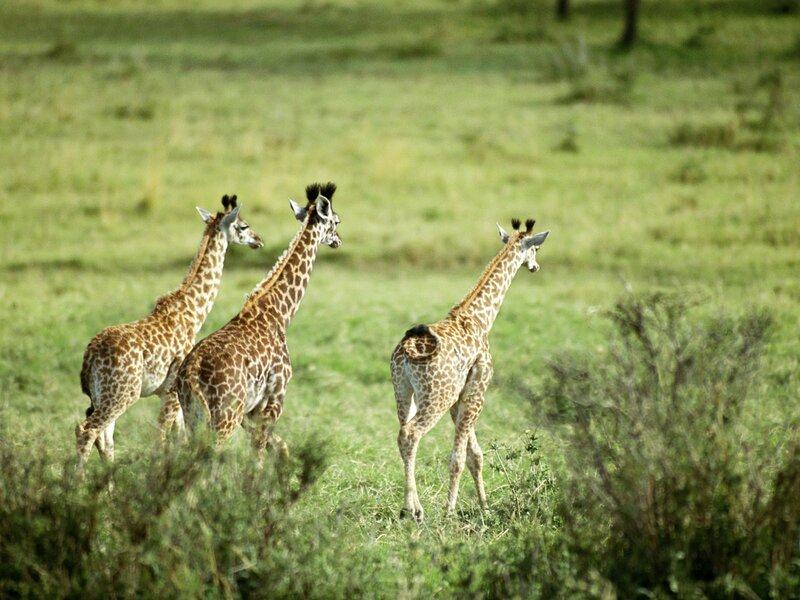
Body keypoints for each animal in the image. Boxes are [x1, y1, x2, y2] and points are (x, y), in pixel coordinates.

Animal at [76, 195, 264, 464]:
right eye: (243, 225)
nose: (259, 240)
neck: (192, 313)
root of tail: (89, 356)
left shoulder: (169, 394)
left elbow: (177, 438)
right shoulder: (171, 391)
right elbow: (163, 437)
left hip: (103, 394)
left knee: (105, 437)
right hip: (122, 393)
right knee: (87, 430)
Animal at [175, 182, 341, 454]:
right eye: (336, 221)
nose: (338, 240)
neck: (279, 313)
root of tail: (190, 373)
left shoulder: (250, 411)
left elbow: (280, 448)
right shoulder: (274, 399)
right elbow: (260, 452)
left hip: (193, 416)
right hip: (225, 416)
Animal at [391, 218, 549, 522]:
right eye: (535, 249)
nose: (536, 267)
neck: (480, 318)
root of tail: (406, 353)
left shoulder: (460, 397)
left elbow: (475, 454)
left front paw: (485, 507)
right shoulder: (477, 391)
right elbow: (459, 457)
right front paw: (450, 512)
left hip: (403, 393)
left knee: (402, 435)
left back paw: (411, 507)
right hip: (435, 398)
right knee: (412, 434)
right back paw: (415, 509)